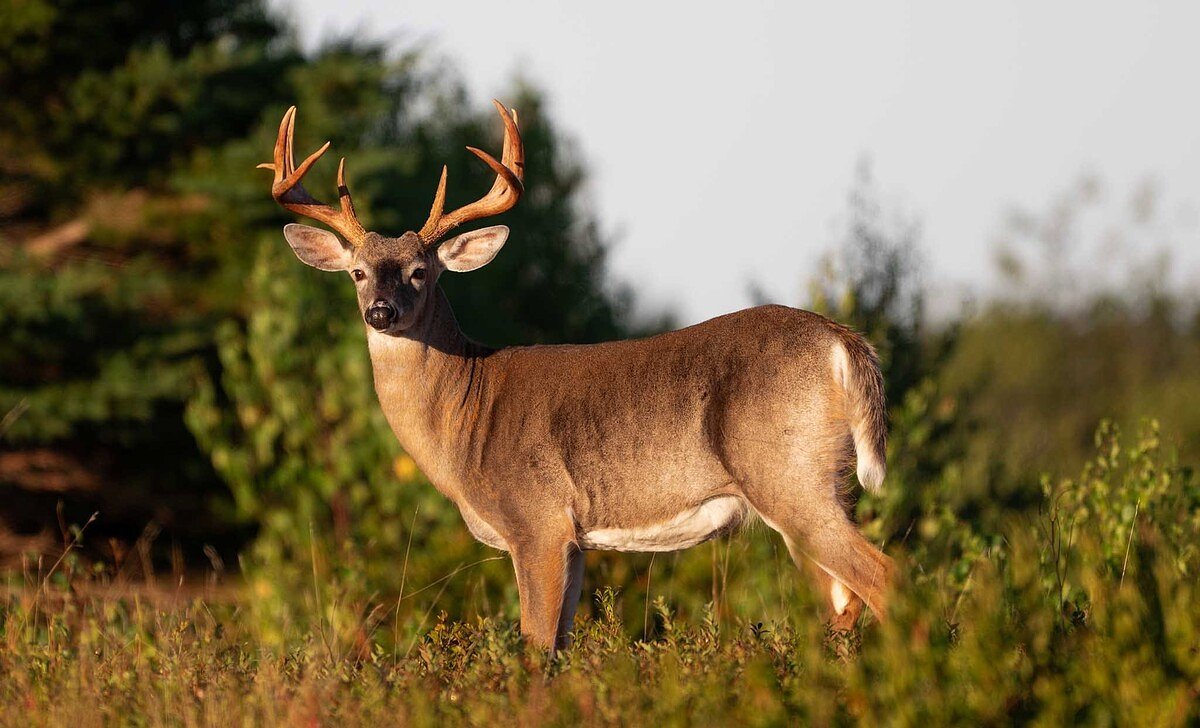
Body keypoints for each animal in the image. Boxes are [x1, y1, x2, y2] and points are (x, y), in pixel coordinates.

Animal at [257, 101, 894, 651]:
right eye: (358, 272)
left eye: (419, 271)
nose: (381, 312)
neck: (465, 419)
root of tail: (843, 341)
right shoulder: (576, 540)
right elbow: (560, 646)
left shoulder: (536, 520)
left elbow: (536, 648)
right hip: (826, 482)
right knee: (848, 601)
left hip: (789, 475)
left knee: (885, 578)